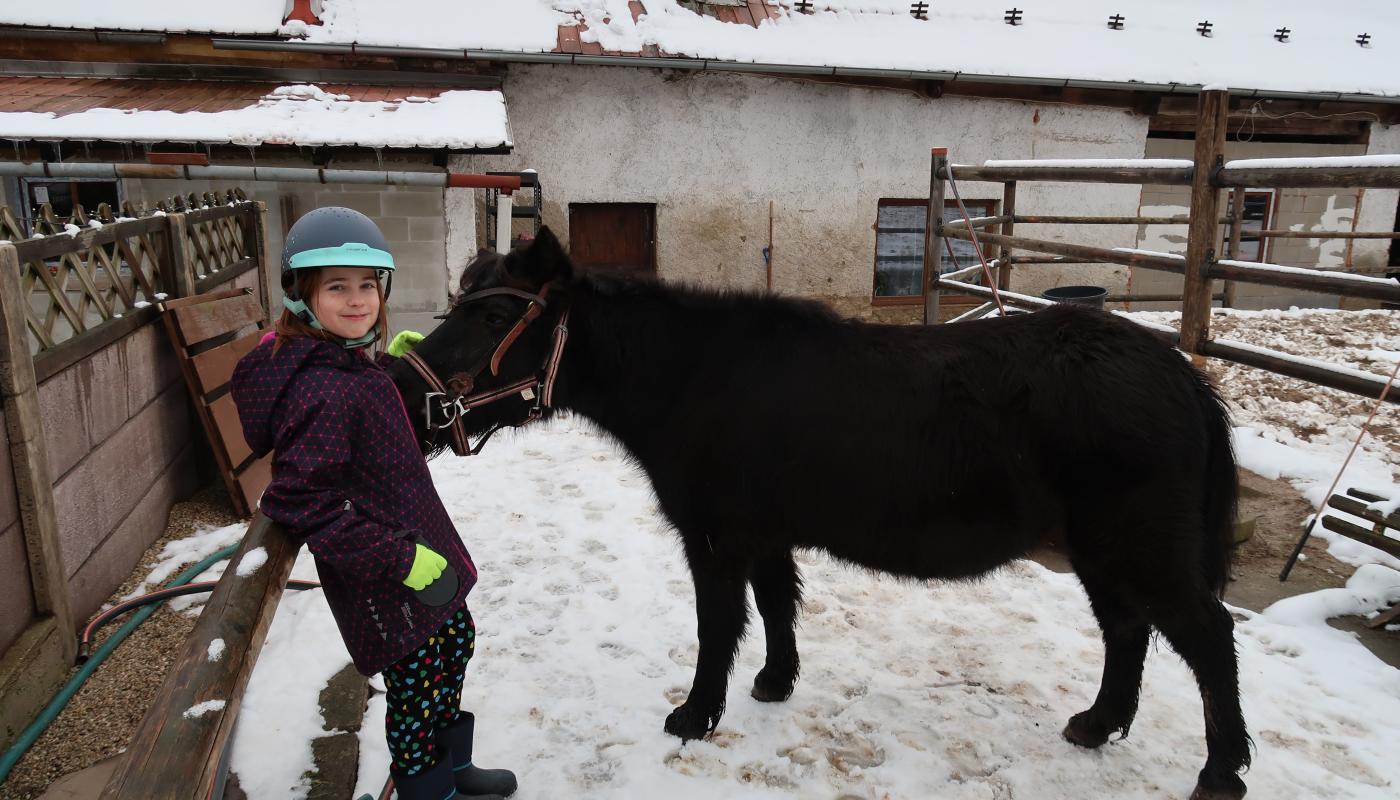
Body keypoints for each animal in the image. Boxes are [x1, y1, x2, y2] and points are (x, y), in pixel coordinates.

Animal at [389, 226, 1254, 800]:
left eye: (495, 318)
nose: (405, 388)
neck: (691, 377)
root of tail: (1179, 372)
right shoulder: (764, 535)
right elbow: (778, 606)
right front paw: (775, 684)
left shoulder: (716, 539)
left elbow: (719, 624)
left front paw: (696, 714)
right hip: (1101, 551)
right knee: (1127, 631)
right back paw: (1098, 723)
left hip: (1139, 548)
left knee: (1207, 640)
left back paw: (1220, 771)